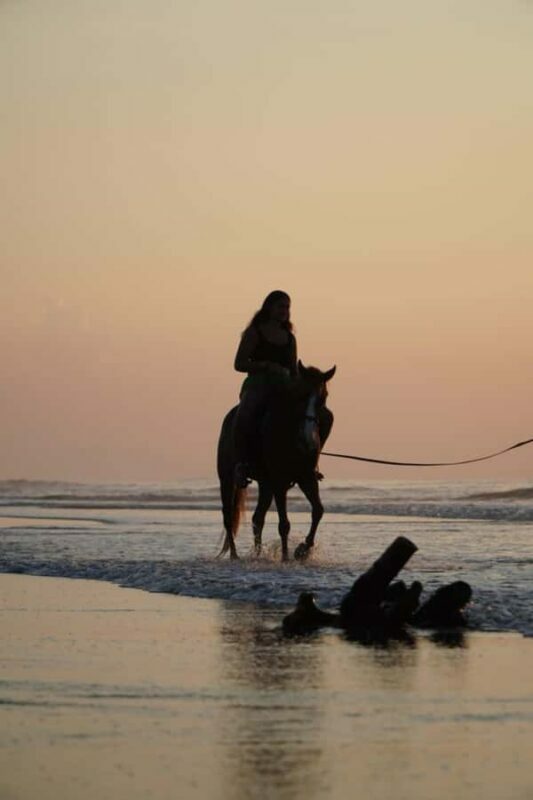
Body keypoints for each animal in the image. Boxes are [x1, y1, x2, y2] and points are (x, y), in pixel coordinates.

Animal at [217, 361, 336, 561]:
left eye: (323, 397)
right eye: (301, 395)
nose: (310, 441)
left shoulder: (306, 478)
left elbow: (318, 510)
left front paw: (302, 550)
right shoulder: (279, 481)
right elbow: (284, 524)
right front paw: (286, 557)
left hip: (266, 484)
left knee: (257, 518)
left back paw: (257, 554)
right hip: (227, 479)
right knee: (228, 516)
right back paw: (234, 555)